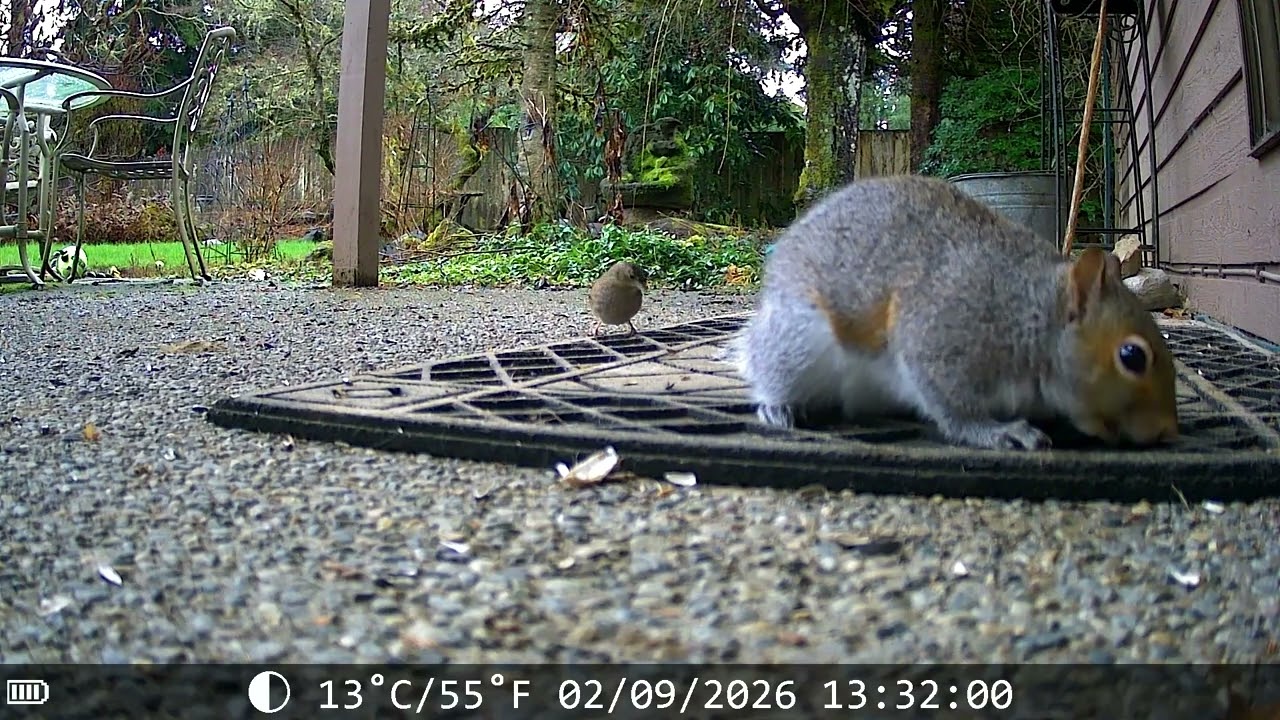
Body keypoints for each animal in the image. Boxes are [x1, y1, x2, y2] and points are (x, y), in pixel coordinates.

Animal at [731, 174, 1179, 450]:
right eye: (1132, 356)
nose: (1166, 431)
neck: (1031, 316)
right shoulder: (943, 333)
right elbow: (951, 406)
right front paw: (997, 432)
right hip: (799, 342)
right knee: (773, 369)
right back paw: (778, 405)